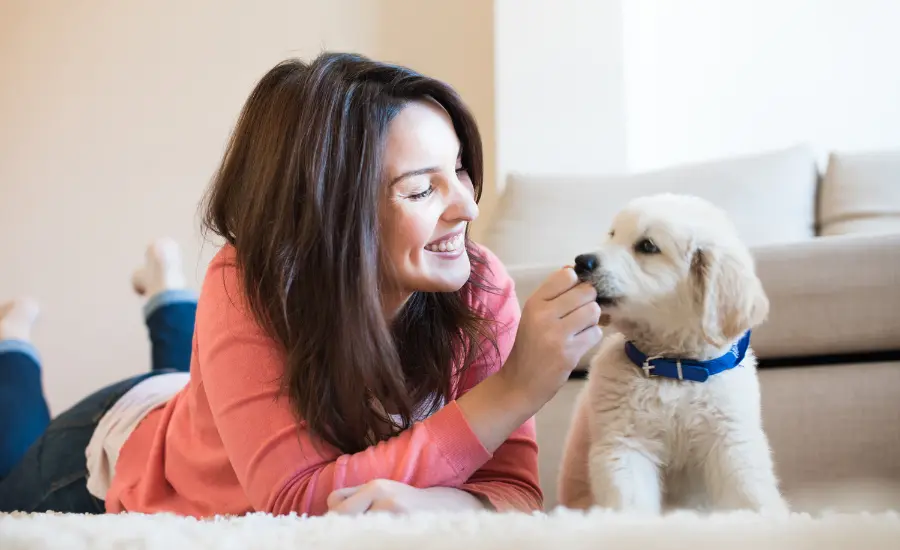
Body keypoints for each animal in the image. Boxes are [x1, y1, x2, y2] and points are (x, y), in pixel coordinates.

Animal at [560, 194, 792, 516]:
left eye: (647, 246)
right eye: (612, 235)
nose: (581, 261)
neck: (675, 367)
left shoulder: (731, 441)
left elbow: (749, 494)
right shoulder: (625, 445)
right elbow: (631, 504)